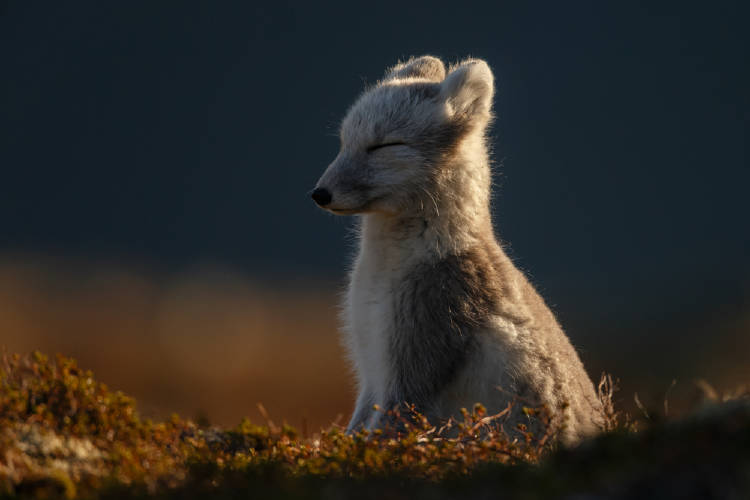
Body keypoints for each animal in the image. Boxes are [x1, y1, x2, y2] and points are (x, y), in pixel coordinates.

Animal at [312, 55, 604, 446]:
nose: (320, 193)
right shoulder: (371, 372)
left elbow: (383, 434)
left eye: (384, 146)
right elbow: (355, 428)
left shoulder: (414, 366)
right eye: (345, 141)